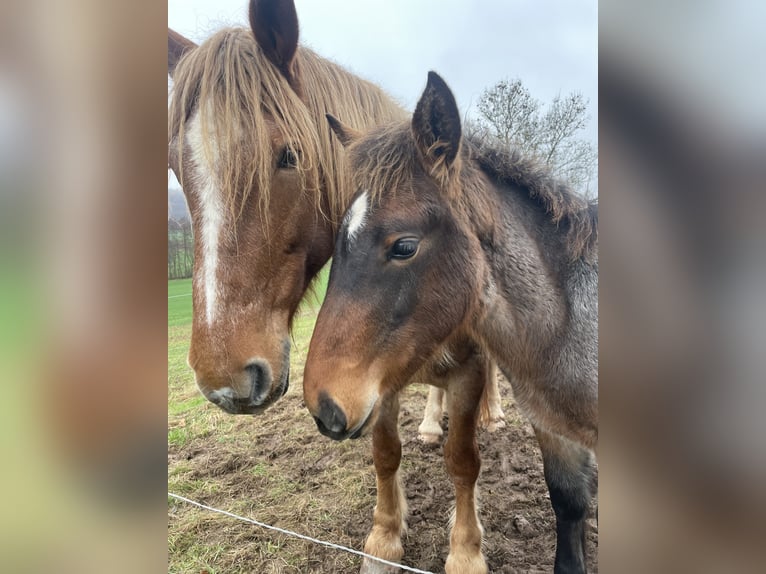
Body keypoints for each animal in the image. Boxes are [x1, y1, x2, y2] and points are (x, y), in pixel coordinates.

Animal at [168, 0, 503, 569]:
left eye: (289, 155)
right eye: (175, 167)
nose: (223, 378)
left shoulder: (471, 367)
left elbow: (463, 460)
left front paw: (465, 554)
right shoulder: (374, 376)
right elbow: (386, 453)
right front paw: (384, 539)